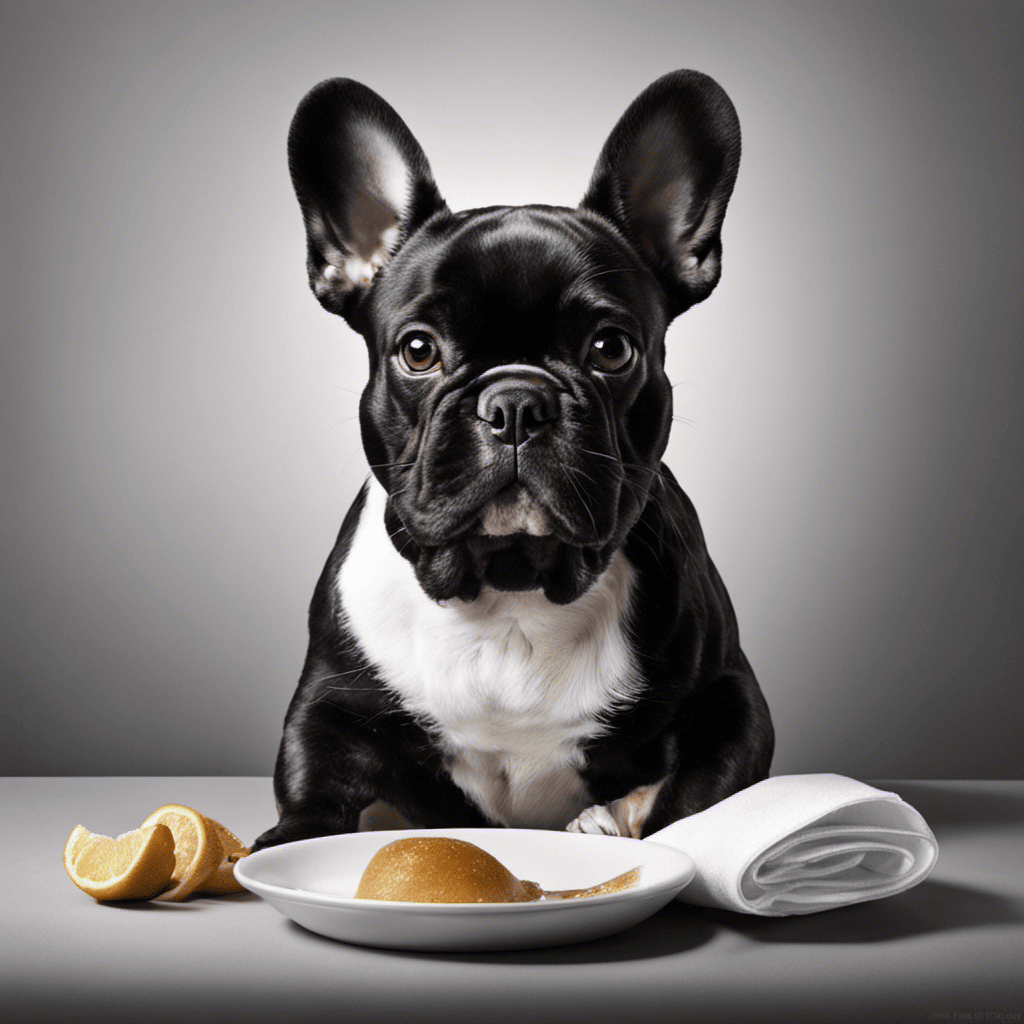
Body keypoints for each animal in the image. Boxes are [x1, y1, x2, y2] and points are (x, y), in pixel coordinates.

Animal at [251, 72, 770, 851]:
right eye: (418, 350)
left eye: (611, 348)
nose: (517, 401)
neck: (510, 590)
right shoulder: (329, 703)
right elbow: (311, 784)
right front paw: (285, 846)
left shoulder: (731, 701)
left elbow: (694, 801)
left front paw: (644, 830)